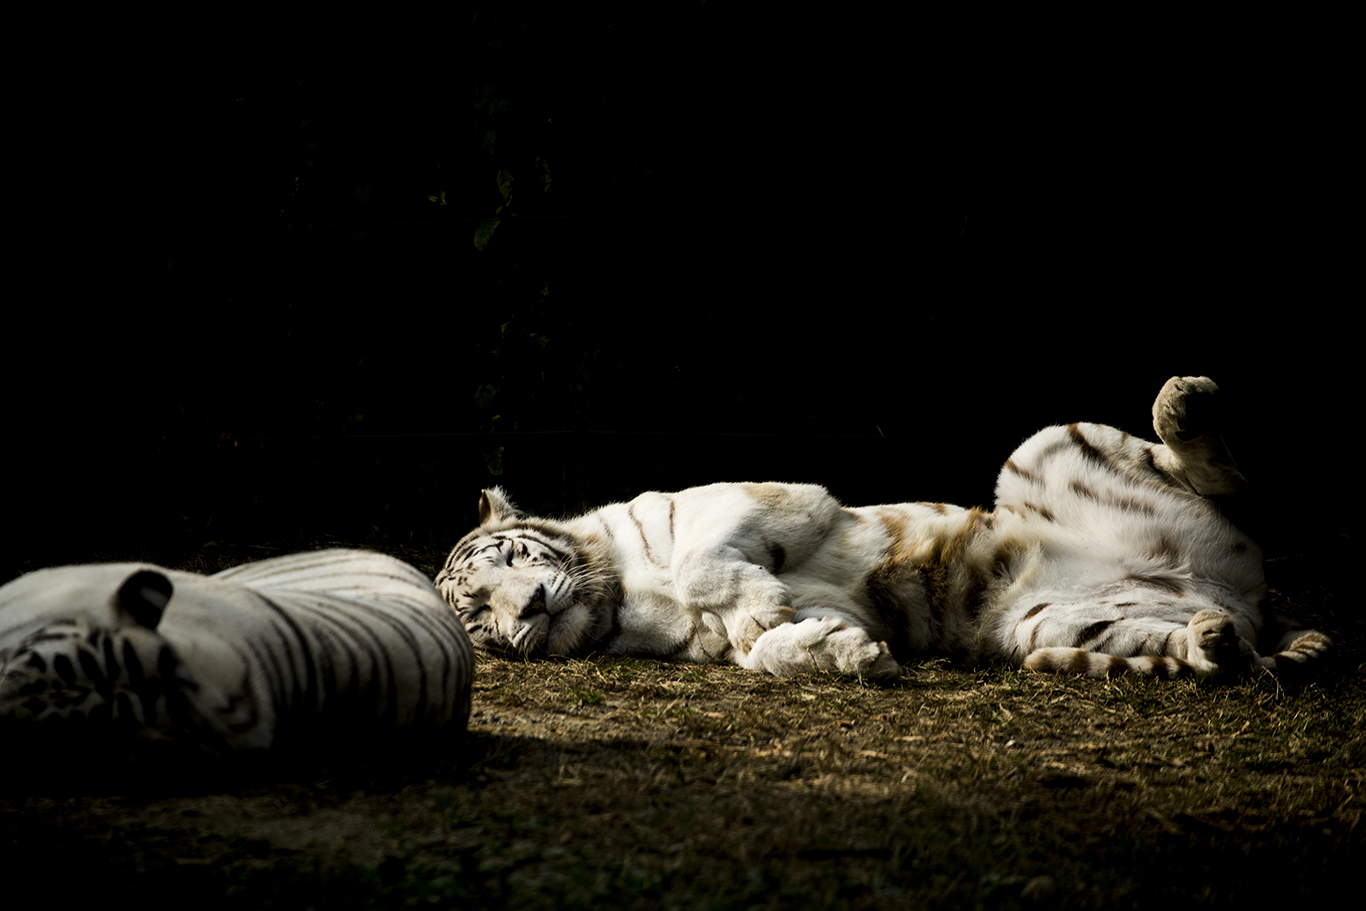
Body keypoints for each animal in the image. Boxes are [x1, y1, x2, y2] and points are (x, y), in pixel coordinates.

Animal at [435, 376, 1329, 680]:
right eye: (477, 618)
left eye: (511, 558)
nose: (526, 611)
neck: (618, 595)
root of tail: (1236, 590)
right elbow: (762, 652)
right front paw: (842, 650)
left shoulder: (771, 496)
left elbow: (701, 561)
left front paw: (767, 605)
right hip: (1053, 626)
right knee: (1218, 651)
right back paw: (1215, 641)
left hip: (1041, 445)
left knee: (1224, 478)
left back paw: (1185, 399)